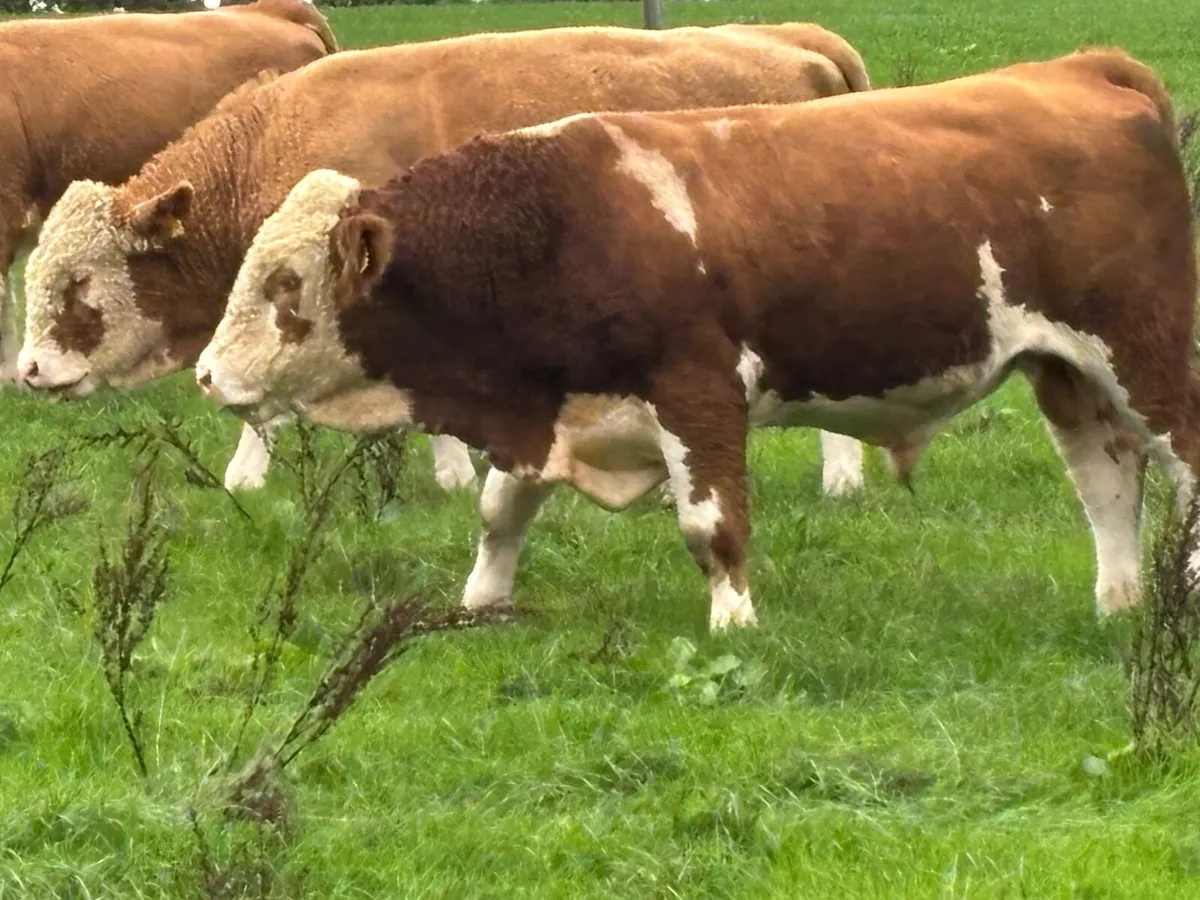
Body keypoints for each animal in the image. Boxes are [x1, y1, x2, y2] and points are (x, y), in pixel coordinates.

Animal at [17, 21, 871, 498]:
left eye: (78, 279)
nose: (24, 370)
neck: (272, 140)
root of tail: (794, 38)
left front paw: (248, 476)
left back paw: (842, 477)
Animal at [193, 47, 1199, 632]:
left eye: (285, 285)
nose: (202, 375)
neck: (556, 222)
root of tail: (1081, 67)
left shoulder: (697, 392)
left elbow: (710, 524)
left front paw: (734, 624)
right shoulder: (550, 405)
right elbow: (498, 508)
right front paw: (481, 600)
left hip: (1142, 351)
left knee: (1181, 463)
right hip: (1064, 369)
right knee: (1108, 482)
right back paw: (1117, 603)